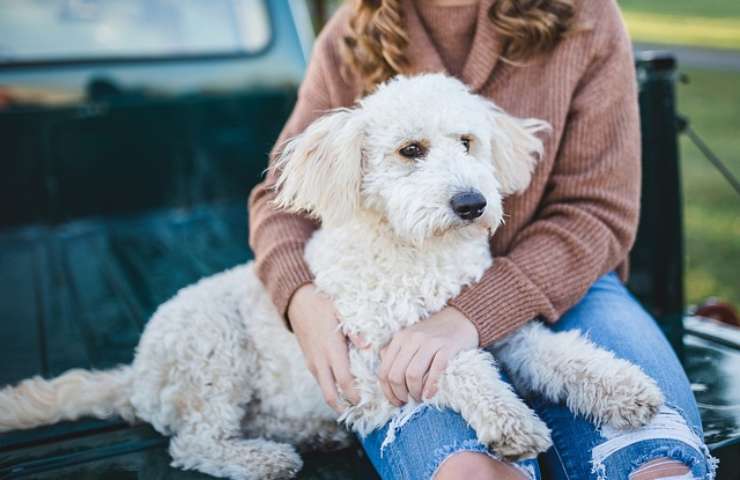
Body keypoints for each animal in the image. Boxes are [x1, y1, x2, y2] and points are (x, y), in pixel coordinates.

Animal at [0, 74, 664, 480]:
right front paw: (512, 421)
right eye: (411, 150)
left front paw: (625, 388)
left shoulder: (499, 330)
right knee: (193, 444)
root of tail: (134, 374)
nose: (472, 203)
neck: (416, 253)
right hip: (213, 349)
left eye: (468, 141)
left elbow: (563, 354)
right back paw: (262, 459)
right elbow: (459, 367)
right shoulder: (375, 362)